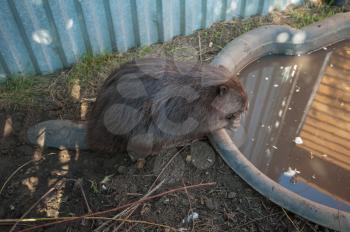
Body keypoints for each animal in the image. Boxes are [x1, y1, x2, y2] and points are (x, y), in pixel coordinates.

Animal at [26, 58, 246, 165]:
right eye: (239, 97)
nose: (247, 104)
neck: (200, 88)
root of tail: (89, 134)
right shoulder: (194, 111)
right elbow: (210, 123)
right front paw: (233, 121)